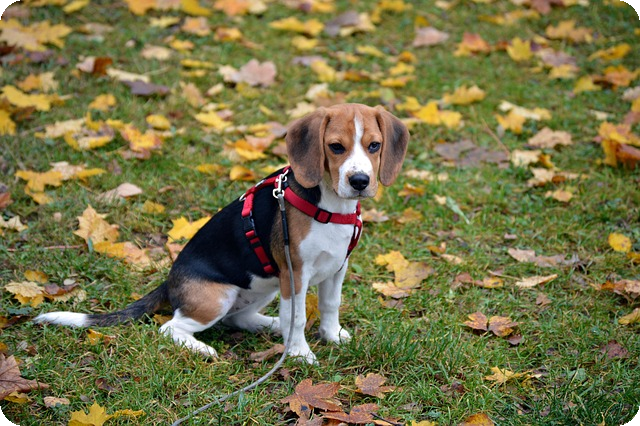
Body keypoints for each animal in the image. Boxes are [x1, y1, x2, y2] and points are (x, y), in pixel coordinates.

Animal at [34, 103, 409, 364]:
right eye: (335, 147)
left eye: (374, 146)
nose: (359, 181)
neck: (329, 206)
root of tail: (169, 282)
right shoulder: (295, 273)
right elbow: (299, 316)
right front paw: (300, 353)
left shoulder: (336, 267)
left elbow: (330, 305)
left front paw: (332, 336)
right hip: (220, 295)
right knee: (171, 326)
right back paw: (203, 348)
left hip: (262, 286)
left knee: (238, 319)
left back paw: (272, 325)